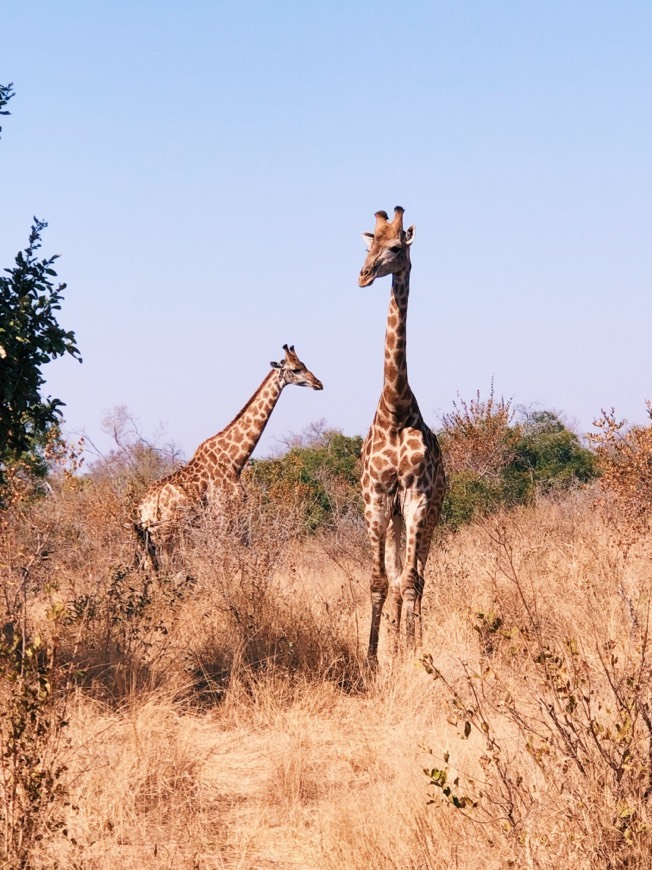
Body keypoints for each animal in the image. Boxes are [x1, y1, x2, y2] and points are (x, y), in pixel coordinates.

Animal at [136, 344, 324, 568]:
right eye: (295, 370)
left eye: (304, 364)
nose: (318, 383)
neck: (235, 460)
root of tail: (142, 509)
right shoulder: (225, 513)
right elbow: (228, 553)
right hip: (166, 532)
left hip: (150, 539)